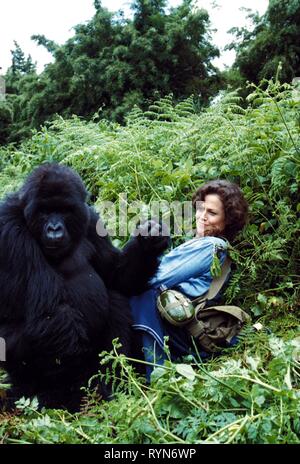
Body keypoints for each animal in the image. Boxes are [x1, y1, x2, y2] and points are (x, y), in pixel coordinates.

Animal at [0, 163, 169, 410]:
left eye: (64, 210)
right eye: (44, 212)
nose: (54, 228)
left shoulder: (90, 220)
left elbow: (116, 277)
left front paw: (149, 241)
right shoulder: (10, 230)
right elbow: (51, 316)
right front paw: (83, 392)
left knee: (115, 297)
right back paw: (39, 393)